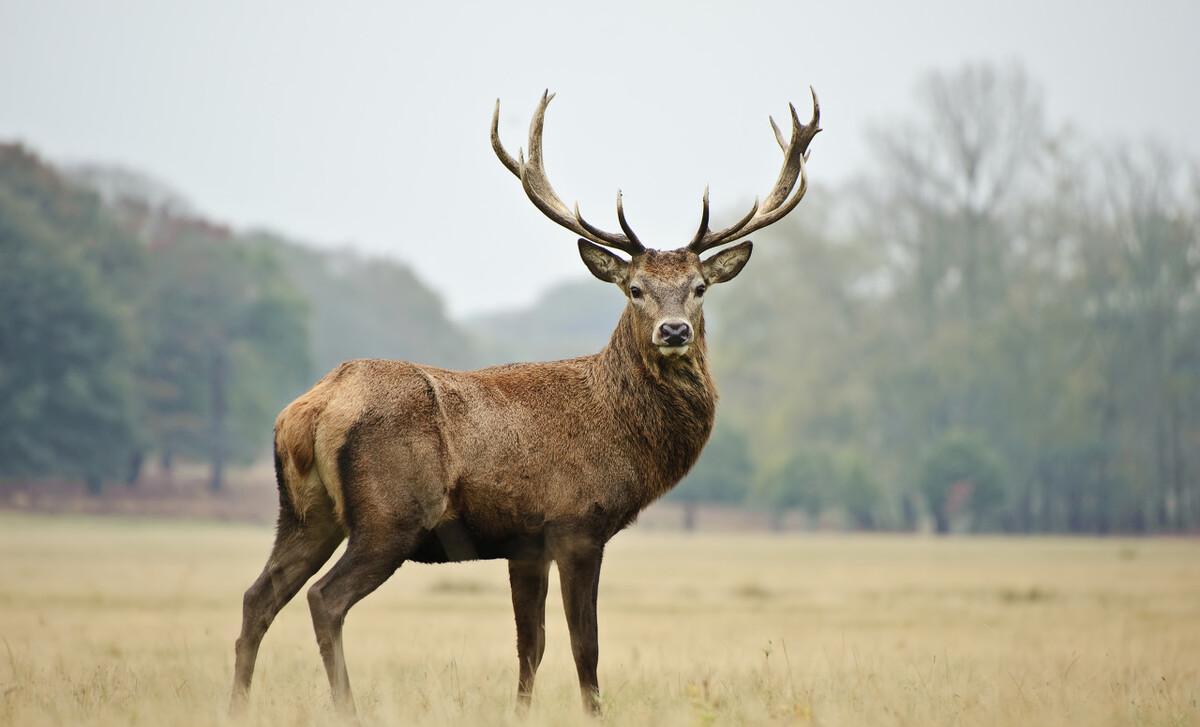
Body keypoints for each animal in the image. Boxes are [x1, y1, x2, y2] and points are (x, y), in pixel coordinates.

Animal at [229, 86, 820, 719]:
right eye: (634, 289)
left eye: (700, 288)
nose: (674, 330)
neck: (621, 433)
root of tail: (309, 410)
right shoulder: (577, 523)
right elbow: (585, 646)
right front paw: (594, 714)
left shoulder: (525, 543)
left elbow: (529, 647)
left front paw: (520, 712)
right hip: (390, 515)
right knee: (324, 599)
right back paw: (346, 709)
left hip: (305, 512)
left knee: (258, 596)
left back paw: (237, 706)